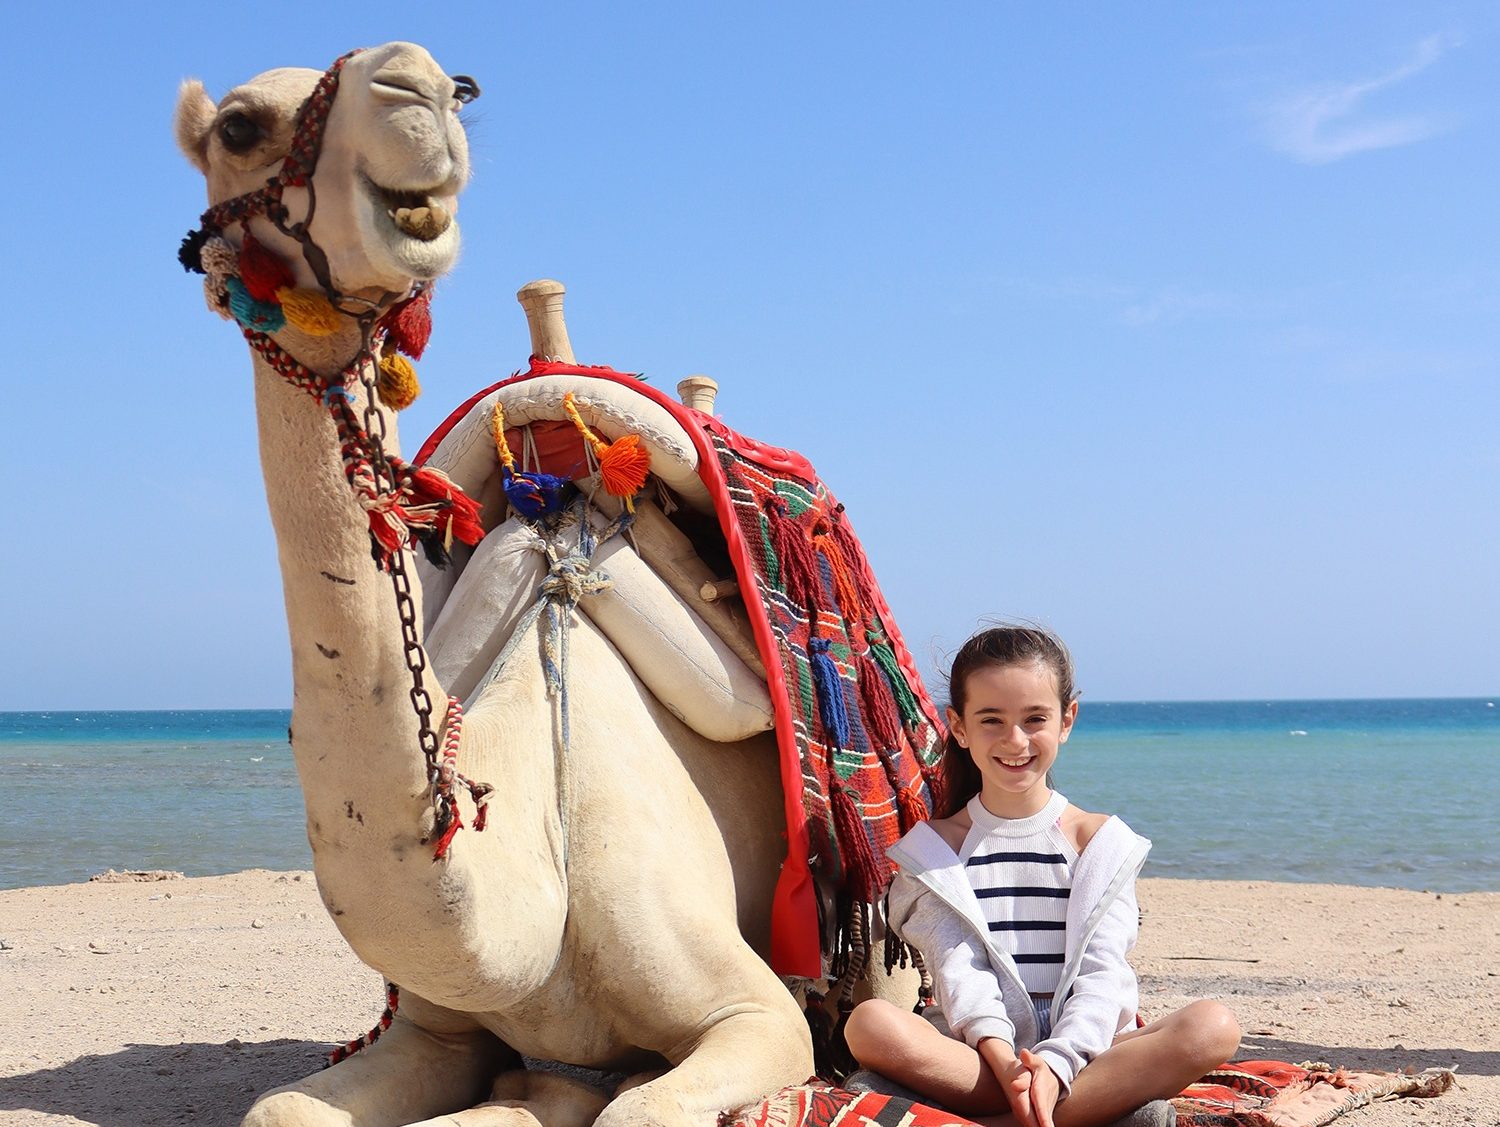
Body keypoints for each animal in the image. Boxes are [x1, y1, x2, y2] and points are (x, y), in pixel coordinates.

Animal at [175, 42, 925, 1127]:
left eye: (456, 93)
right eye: (238, 127)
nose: (419, 85)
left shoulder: (751, 1013)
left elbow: (640, 1102)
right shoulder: (441, 1029)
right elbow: (284, 1107)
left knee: (877, 986)